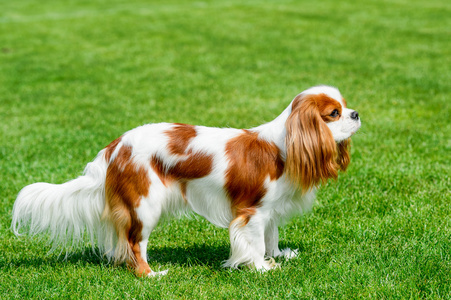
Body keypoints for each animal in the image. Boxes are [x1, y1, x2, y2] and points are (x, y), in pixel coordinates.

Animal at [11, 84, 360, 276]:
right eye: (333, 113)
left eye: (345, 108)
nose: (356, 114)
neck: (284, 146)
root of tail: (115, 146)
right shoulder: (252, 212)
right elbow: (255, 241)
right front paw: (261, 268)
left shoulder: (269, 211)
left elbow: (270, 237)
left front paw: (276, 256)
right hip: (145, 205)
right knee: (135, 244)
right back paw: (151, 275)